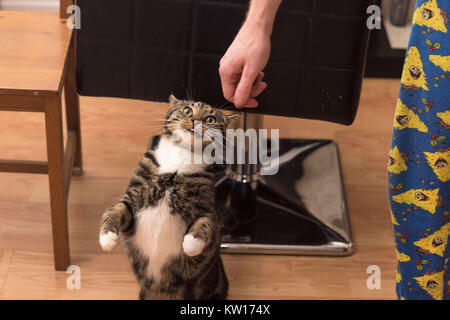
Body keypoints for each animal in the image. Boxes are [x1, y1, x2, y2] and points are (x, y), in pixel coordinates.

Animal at [98, 95, 239, 300]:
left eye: (210, 119)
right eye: (188, 110)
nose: (196, 121)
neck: (181, 158)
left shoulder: (206, 206)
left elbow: (206, 223)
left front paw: (191, 245)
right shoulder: (134, 194)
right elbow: (116, 210)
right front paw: (107, 238)